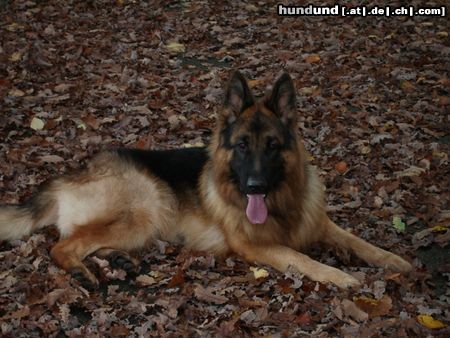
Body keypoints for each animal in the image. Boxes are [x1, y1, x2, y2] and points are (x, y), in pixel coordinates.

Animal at [0, 71, 412, 288]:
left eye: (273, 146)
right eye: (242, 146)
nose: (255, 187)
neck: (281, 200)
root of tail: (68, 175)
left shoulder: (320, 223)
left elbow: (360, 242)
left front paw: (396, 261)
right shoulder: (256, 247)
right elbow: (302, 258)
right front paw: (340, 276)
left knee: (82, 240)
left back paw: (118, 260)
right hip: (147, 206)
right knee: (63, 246)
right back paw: (82, 272)